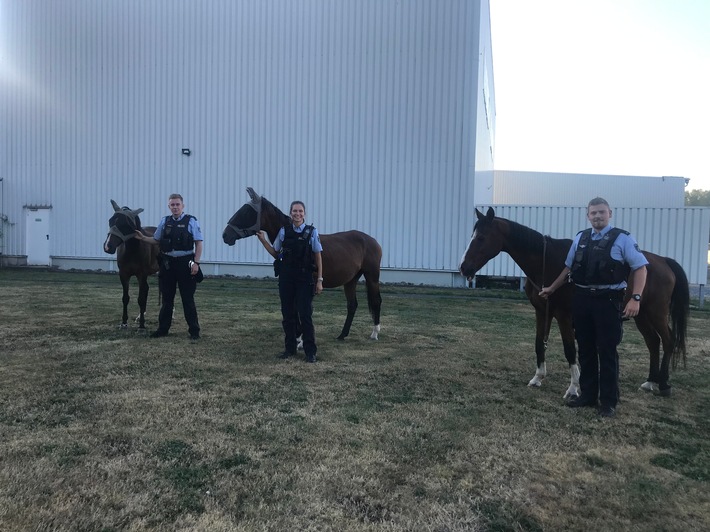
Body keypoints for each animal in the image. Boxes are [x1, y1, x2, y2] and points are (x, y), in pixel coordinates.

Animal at [103, 202, 160, 330]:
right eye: (110, 221)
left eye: (125, 224)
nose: (108, 247)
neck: (132, 251)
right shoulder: (124, 275)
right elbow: (125, 298)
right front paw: (124, 323)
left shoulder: (141, 275)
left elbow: (141, 299)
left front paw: (142, 326)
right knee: (147, 289)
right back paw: (140, 316)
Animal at [462, 208, 688, 400]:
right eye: (472, 236)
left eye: (481, 238)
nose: (464, 268)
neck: (548, 263)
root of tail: (663, 261)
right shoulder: (542, 312)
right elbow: (539, 344)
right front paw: (537, 378)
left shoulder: (564, 315)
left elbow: (570, 349)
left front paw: (573, 388)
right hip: (641, 315)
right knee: (653, 342)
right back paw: (650, 382)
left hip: (656, 312)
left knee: (668, 341)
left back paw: (664, 385)